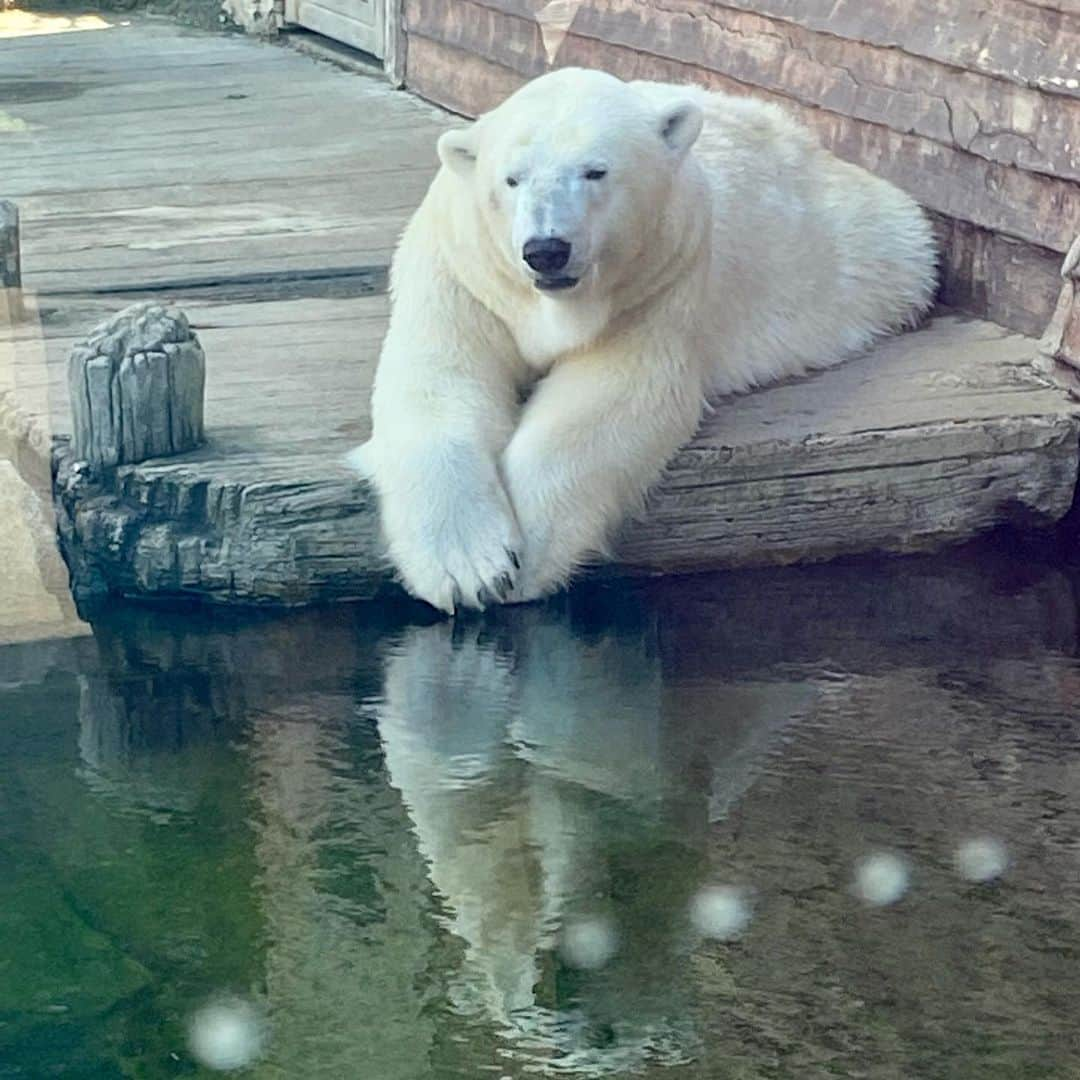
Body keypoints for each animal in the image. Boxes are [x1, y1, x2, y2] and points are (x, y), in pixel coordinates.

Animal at [354, 65, 937, 609]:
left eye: (595, 171)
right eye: (511, 179)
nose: (546, 250)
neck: (551, 307)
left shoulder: (657, 285)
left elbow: (617, 397)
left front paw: (527, 557)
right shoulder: (466, 275)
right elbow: (438, 382)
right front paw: (468, 568)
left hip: (862, 246)